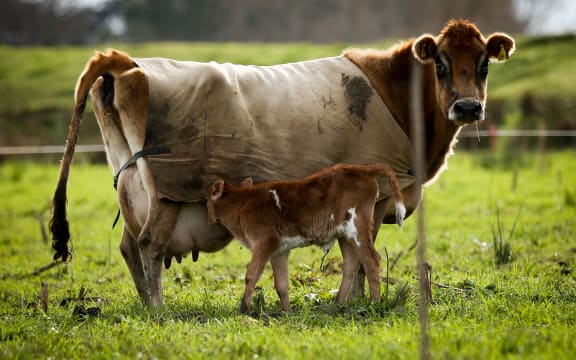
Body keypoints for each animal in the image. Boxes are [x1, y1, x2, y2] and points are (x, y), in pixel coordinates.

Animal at [207, 163, 404, 312]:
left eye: (207, 200)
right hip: (345, 235)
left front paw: (243, 308)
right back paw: (338, 304)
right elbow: (281, 283)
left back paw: (374, 303)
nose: (208, 216)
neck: (242, 203)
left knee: (372, 260)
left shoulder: (264, 241)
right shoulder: (279, 250)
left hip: (358, 227)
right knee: (351, 264)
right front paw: (287, 311)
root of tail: (362, 169)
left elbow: (251, 275)